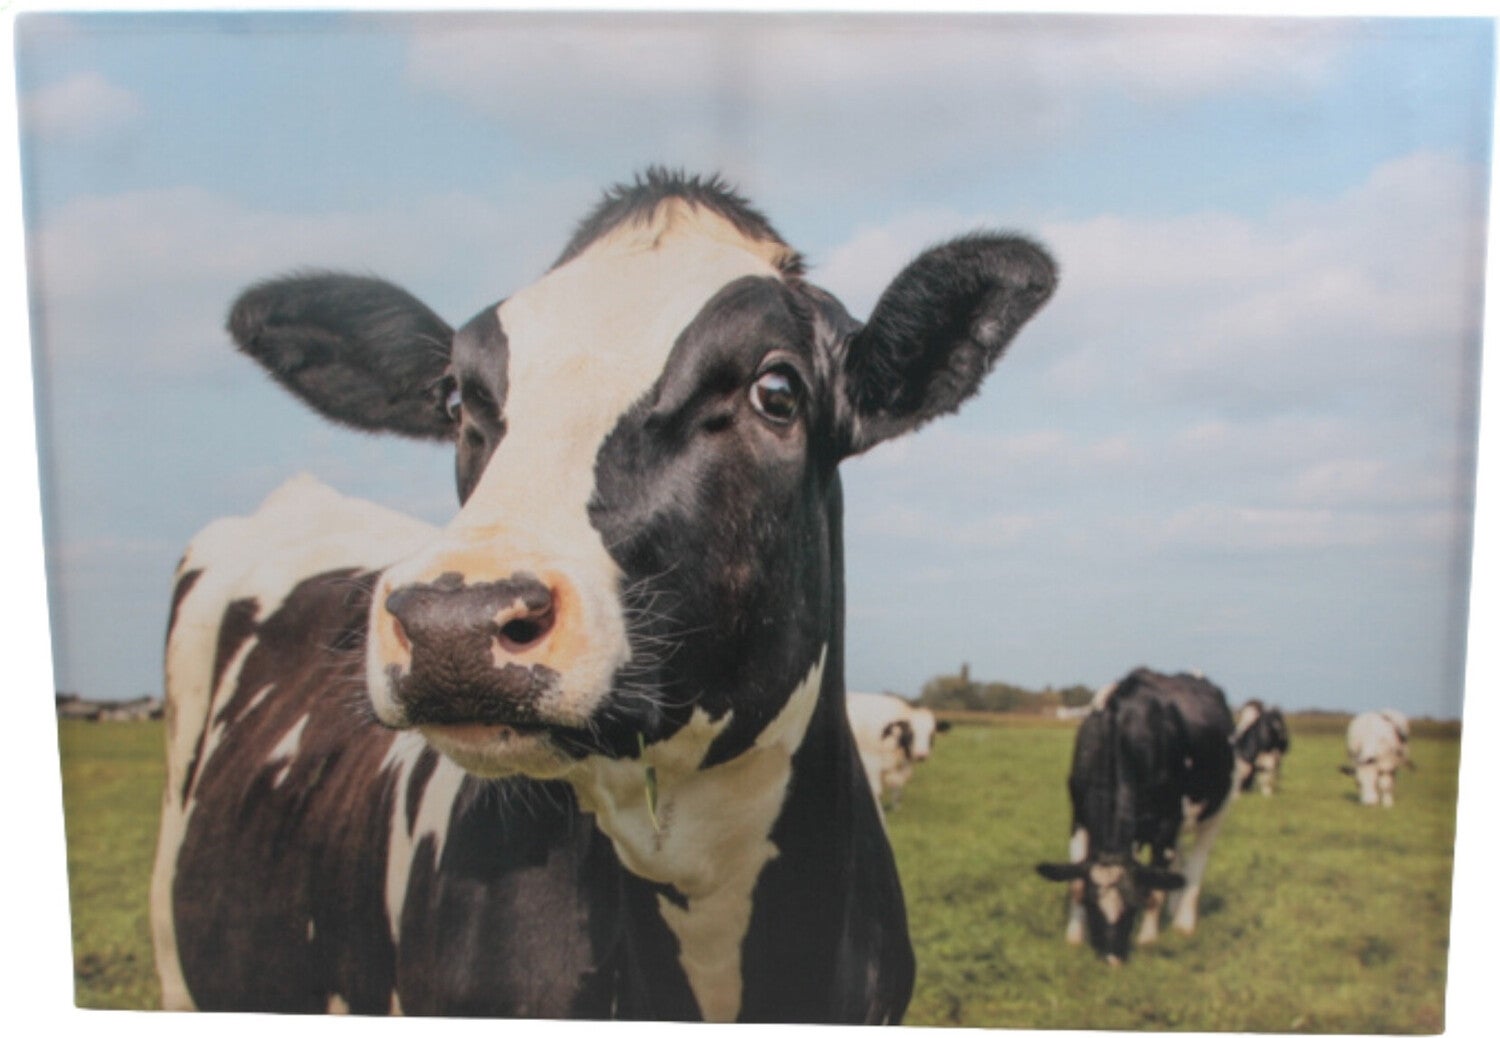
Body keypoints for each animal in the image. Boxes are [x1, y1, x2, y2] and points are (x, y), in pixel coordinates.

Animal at [1036, 667, 1235, 965]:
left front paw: (1148, 939)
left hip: (1217, 809)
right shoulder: (1078, 816)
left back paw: (1184, 922)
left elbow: (1154, 890)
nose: (1112, 960)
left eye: (1132, 906)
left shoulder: (1166, 823)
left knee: (1197, 861)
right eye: (1092, 904)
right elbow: (1076, 882)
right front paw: (1074, 938)